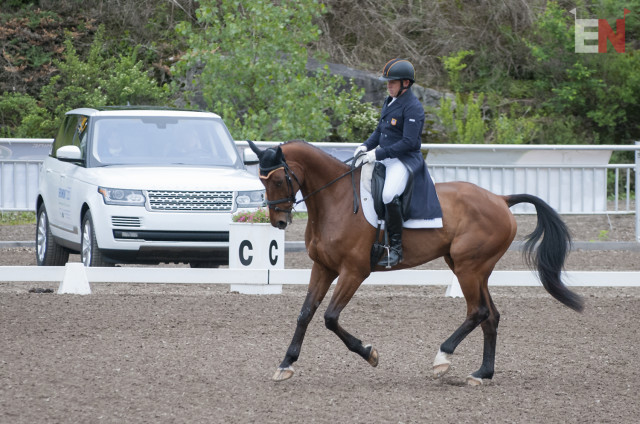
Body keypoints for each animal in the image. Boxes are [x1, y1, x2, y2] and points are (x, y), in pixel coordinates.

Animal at [246, 141, 584, 386]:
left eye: (279, 179)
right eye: (262, 181)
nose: (278, 222)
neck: (336, 200)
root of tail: (500, 199)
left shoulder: (354, 271)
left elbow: (330, 317)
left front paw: (370, 353)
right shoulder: (323, 267)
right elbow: (305, 314)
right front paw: (285, 364)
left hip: (468, 268)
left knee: (478, 311)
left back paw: (442, 359)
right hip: (472, 268)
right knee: (491, 316)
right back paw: (481, 374)